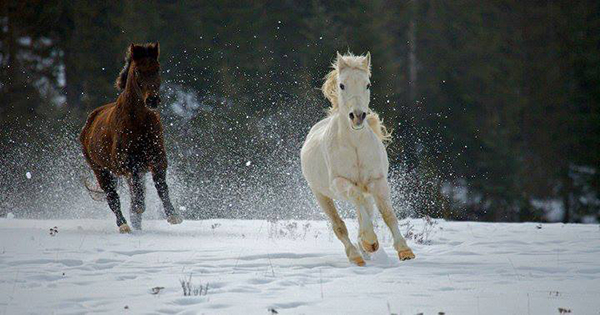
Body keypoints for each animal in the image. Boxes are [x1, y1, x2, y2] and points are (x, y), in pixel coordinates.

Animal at [79, 43, 183, 233]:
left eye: (157, 68)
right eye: (137, 71)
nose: (152, 100)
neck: (139, 123)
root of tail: (88, 124)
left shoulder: (157, 159)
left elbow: (161, 187)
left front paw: (173, 216)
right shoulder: (127, 163)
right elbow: (136, 191)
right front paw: (137, 207)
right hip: (101, 170)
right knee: (112, 198)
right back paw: (124, 225)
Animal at [302, 52, 414, 266]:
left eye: (367, 84)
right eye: (342, 85)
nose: (358, 116)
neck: (355, 146)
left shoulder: (377, 181)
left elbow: (388, 214)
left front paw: (405, 251)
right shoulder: (339, 182)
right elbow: (356, 199)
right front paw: (369, 241)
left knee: (364, 210)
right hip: (321, 195)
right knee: (339, 225)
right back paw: (357, 255)